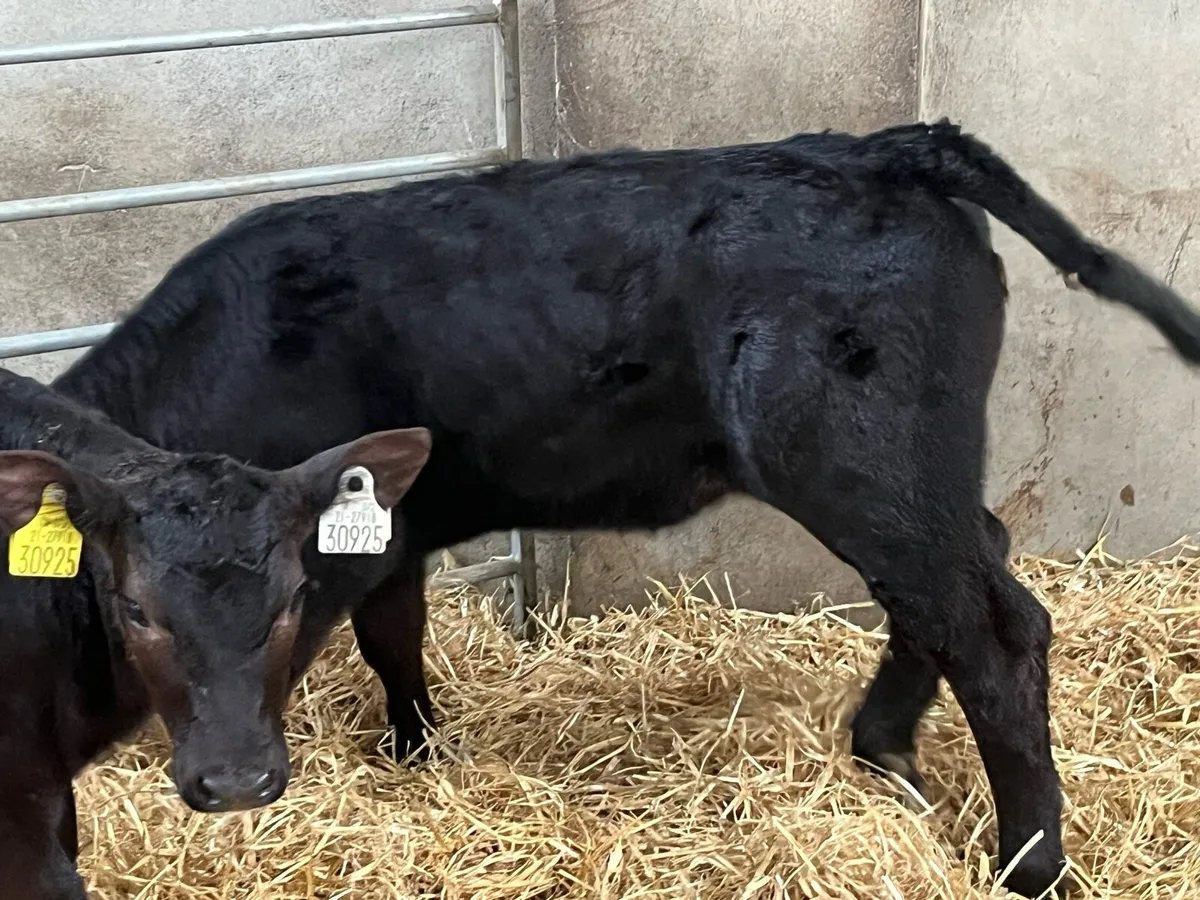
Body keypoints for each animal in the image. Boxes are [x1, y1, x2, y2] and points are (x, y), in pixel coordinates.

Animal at [52, 119, 1200, 897]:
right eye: (132, 605)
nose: (221, 784)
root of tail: (890, 146)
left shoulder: (331, 550)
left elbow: (318, 647)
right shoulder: (392, 533)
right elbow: (397, 641)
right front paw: (419, 755)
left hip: (861, 462)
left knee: (995, 630)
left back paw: (1028, 863)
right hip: (916, 473)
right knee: (964, 579)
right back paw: (884, 748)